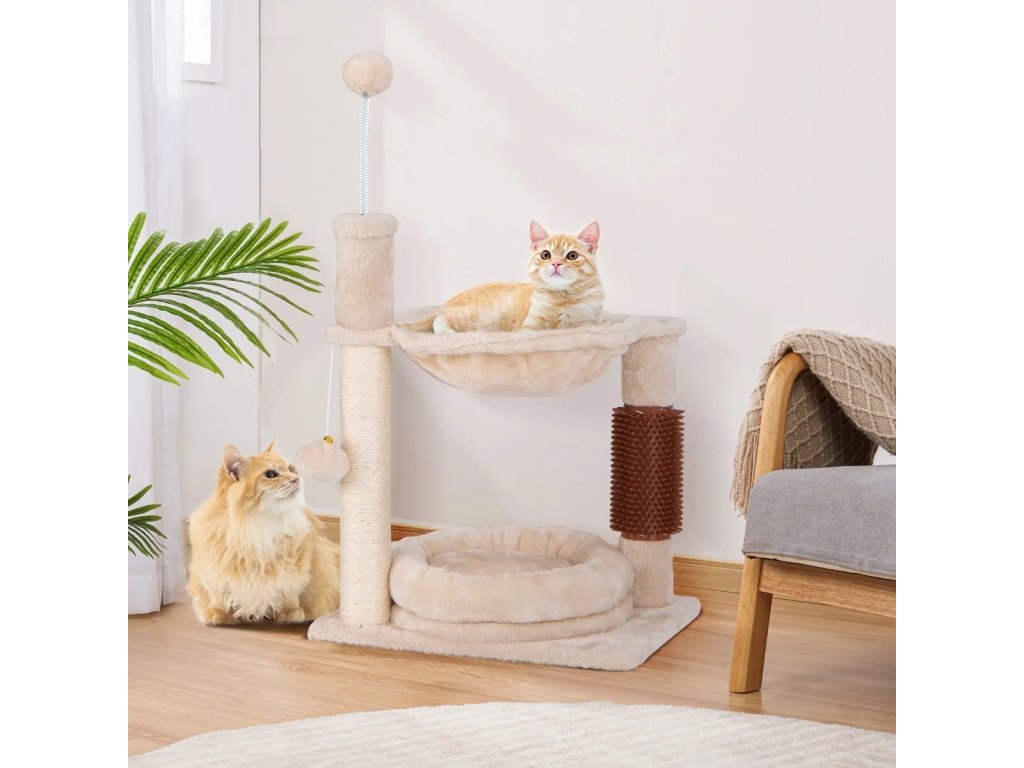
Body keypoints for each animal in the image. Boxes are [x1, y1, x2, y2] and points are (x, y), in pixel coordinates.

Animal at [186, 442, 340, 625]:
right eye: (270, 474)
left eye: (292, 469)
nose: (296, 479)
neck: (259, 526)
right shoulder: (215, 568)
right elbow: (218, 595)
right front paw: (217, 614)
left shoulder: (298, 567)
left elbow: (291, 592)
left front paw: (290, 613)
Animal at [420, 221, 604, 333]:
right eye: (546, 255)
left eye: (572, 256)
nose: (556, 263)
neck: (562, 299)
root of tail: (447, 302)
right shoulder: (529, 328)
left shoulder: (589, 325)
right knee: (440, 318)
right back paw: (447, 333)